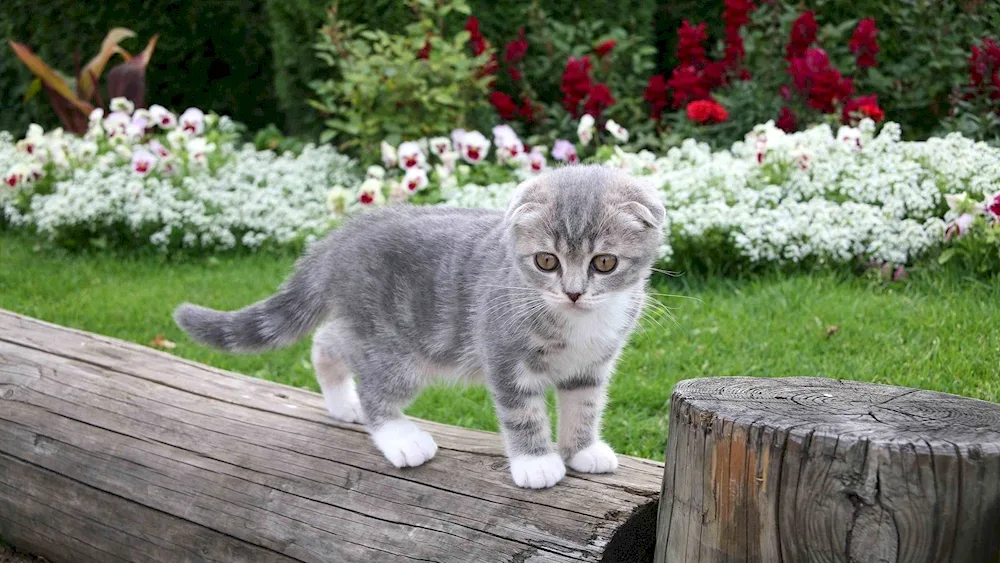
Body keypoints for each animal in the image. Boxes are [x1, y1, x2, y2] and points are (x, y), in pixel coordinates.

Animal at [174, 164, 664, 490]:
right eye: (547, 261)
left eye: (604, 263)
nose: (574, 292)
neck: (578, 322)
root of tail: (341, 238)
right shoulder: (503, 351)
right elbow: (522, 411)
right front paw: (536, 462)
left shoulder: (592, 364)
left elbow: (585, 403)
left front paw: (582, 449)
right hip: (392, 347)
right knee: (370, 381)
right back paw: (397, 435)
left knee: (327, 339)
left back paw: (342, 403)